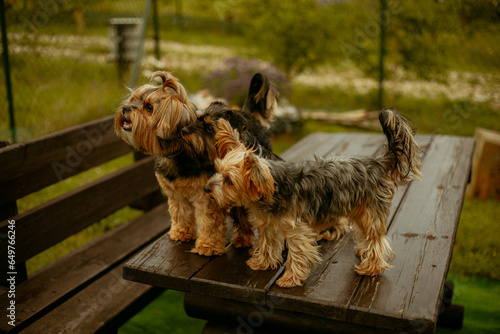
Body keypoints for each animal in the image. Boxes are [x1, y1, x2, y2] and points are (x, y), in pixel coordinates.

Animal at [114, 70, 278, 253]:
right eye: (133, 99)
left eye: (149, 107)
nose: (125, 108)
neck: (179, 151)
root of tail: (247, 114)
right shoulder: (175, 194)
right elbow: (180, 213)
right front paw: (181, 232)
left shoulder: (206, 195)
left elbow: (209, 221)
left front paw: (208, 246)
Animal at [205, 109, 424, 288]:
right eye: (217, 170)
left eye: (229, 180)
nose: (206, 188)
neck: (272, 189)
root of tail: (377, 162)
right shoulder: (269, 225)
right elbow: (267, 245)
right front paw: (261, 263)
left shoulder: (297, 231)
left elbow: (297, 254)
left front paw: (289, 279)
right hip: (359, 210)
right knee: (367, 234)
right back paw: (364, 251)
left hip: (370, 210)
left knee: (376, 238)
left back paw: (371, 267)